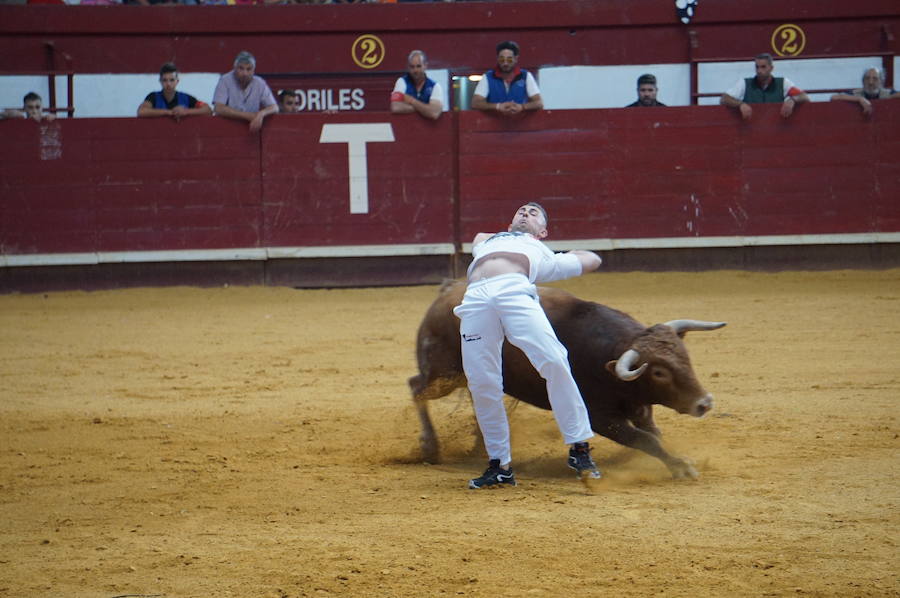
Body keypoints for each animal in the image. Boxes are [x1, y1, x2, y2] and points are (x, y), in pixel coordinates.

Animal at [408, 282, 724, 482]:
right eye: (659, 372)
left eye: (684, 353)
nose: (704, 403)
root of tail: (444, 295)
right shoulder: (600, 418)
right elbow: (643, 439)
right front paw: (681, 467)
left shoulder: (640, 408)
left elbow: (654, 435)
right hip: (443, 374)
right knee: (416, 388)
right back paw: (431, 447)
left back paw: (481, 446)